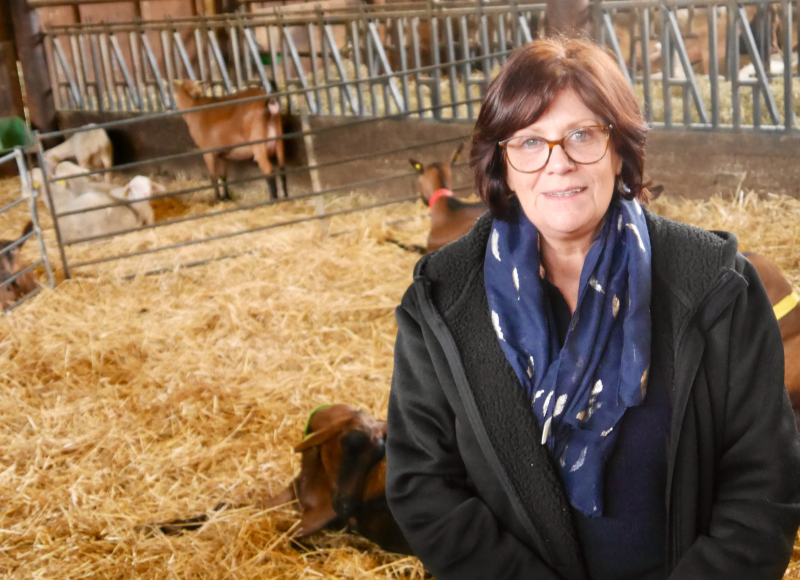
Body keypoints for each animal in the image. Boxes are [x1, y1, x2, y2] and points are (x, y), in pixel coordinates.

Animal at [147, 404, 412, 555]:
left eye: (377, 457)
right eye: (347, 446)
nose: (348, 507)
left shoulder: (321, 512)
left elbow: (284, 536)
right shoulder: (290, 497)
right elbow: (223, 507)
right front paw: (153, 527)